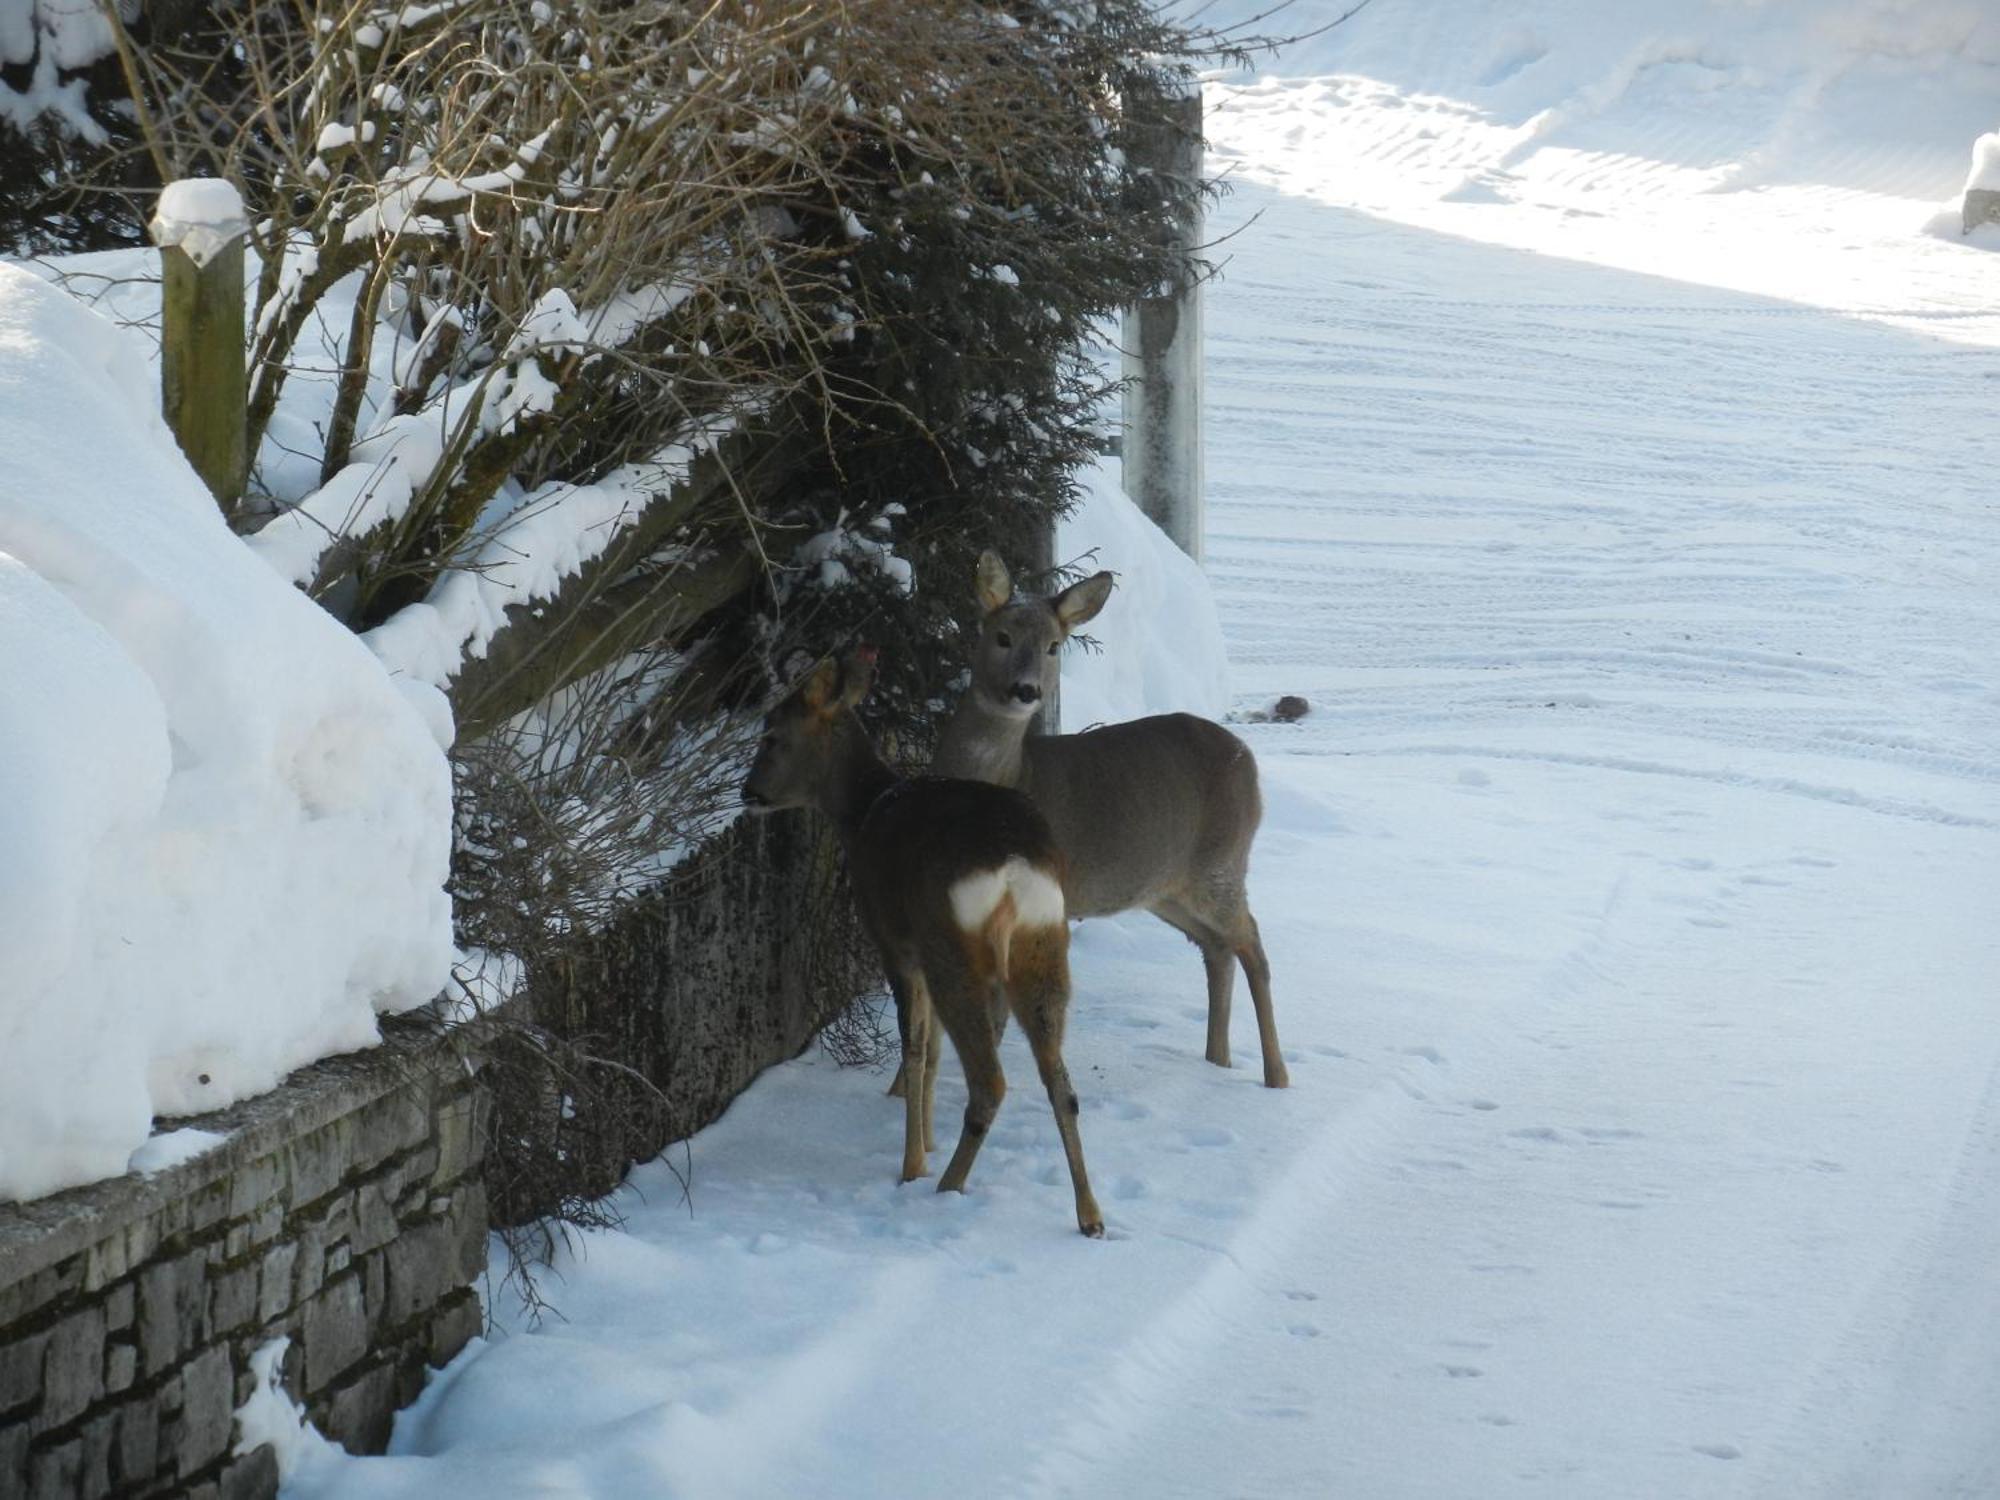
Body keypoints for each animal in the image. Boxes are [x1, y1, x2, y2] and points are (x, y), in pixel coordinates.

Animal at [744, 652, 1112, 1240]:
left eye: (772, 735)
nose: (748, 792)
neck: (863, 812)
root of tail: (1013, 867)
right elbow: (934, 1048)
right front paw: (929, 1142)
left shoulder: (895, 945)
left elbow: (915, 1047)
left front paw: (914, 1160)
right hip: (1042, 947)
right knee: (1062, 1085)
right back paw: (1090, 1215)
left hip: (952, 947)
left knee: (990, 1080)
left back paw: (945, 1186)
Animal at [928, 552, 1288, 1096]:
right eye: (1002, 636)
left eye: (1054, 646)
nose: (1025, 690)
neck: (1010, 774)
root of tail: (1247, 759)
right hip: (1164, 887)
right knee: (1218, 947)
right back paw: (1217, 1061)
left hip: (1221, 863)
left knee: (1253, 944)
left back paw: (1276, 1075)